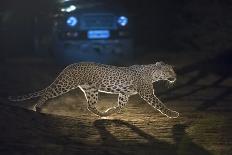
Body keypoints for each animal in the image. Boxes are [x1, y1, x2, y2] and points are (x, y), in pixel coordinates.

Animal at [8, 61, 179, 118]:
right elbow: (160, 105)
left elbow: (121, 105)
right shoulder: (147, 93)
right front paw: (172, 114)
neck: (153, 74)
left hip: (91, 90)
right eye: (169, 71)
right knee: (47, 92)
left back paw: (101, 114)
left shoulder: (124, 94)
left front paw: (110, 111)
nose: (175, 77)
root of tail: (68, 66)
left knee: (90, 105)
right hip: (65, 84)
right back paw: (37, 107)